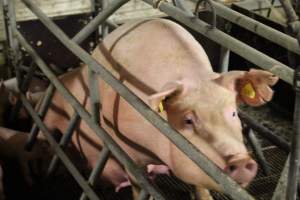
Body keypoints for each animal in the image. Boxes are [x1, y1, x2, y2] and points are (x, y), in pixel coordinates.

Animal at [40, 19, 278, 198]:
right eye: (188, 120)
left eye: (233, 113)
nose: (240, 161)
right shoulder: (127, 153)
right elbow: (139, 184)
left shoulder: (198, 162)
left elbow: (201, 184)